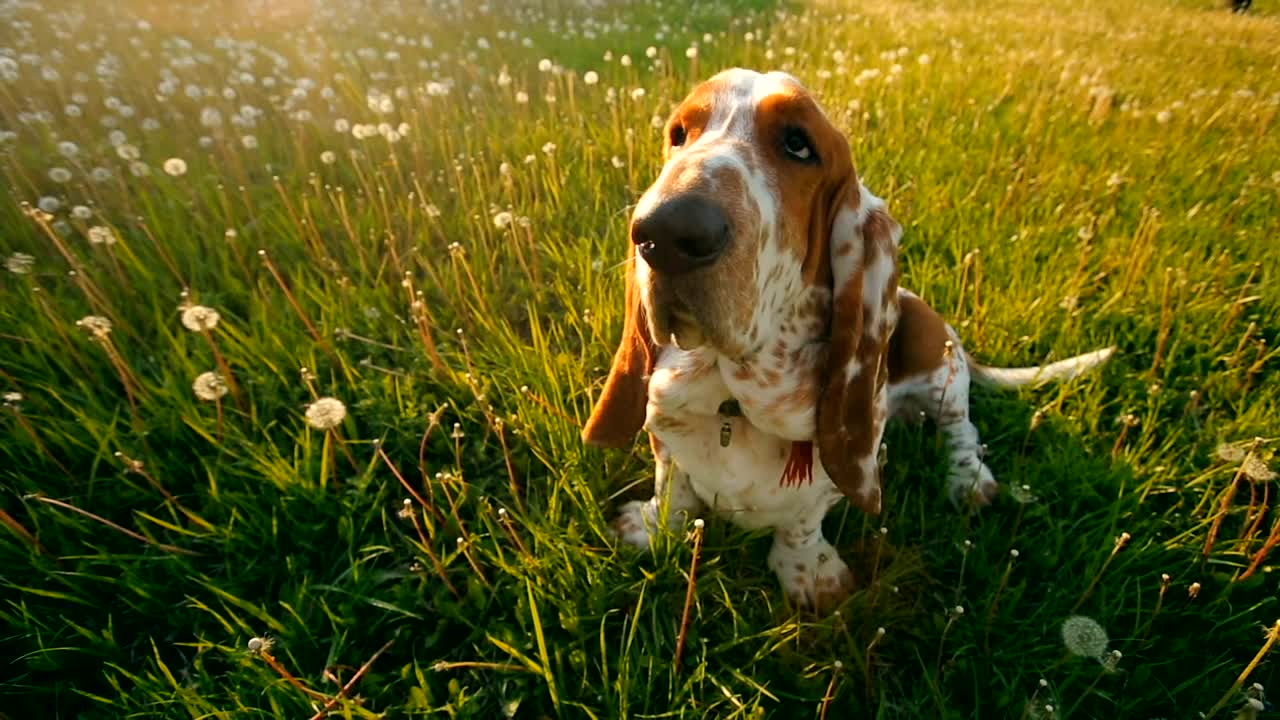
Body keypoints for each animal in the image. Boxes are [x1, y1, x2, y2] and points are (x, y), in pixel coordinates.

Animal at [581, 67, 1111, 607]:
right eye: (679, 134)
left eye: (798, 145)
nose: (661, 232)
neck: (733, 402)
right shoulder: (665, 432)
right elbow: (673, 484)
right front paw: (654, 527)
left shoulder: (836, 474)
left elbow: (803, 519)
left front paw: (809, 573)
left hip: (935, 354)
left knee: (961, 427)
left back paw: (969, 481)